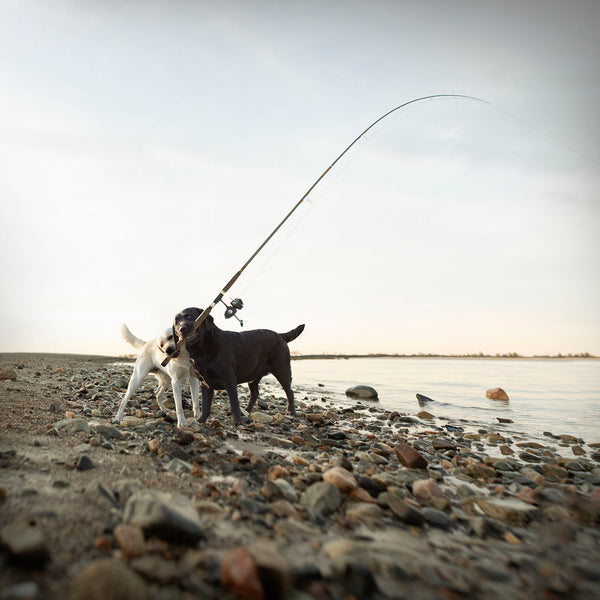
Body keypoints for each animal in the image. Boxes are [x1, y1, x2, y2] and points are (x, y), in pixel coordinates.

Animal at [173, 308, 304, 424]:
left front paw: (237, 422)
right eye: (176, 322)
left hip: (282, 370)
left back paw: (290, 411)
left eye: (190, 316)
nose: (181, 328)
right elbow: (205, 405)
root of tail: (280, 335)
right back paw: (246, 410)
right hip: (253, 375)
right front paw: (201, 420)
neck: (203, 350)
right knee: (255, 393)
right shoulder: (204, 383)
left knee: (290, 392)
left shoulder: (229, 380)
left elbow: (234, 403)